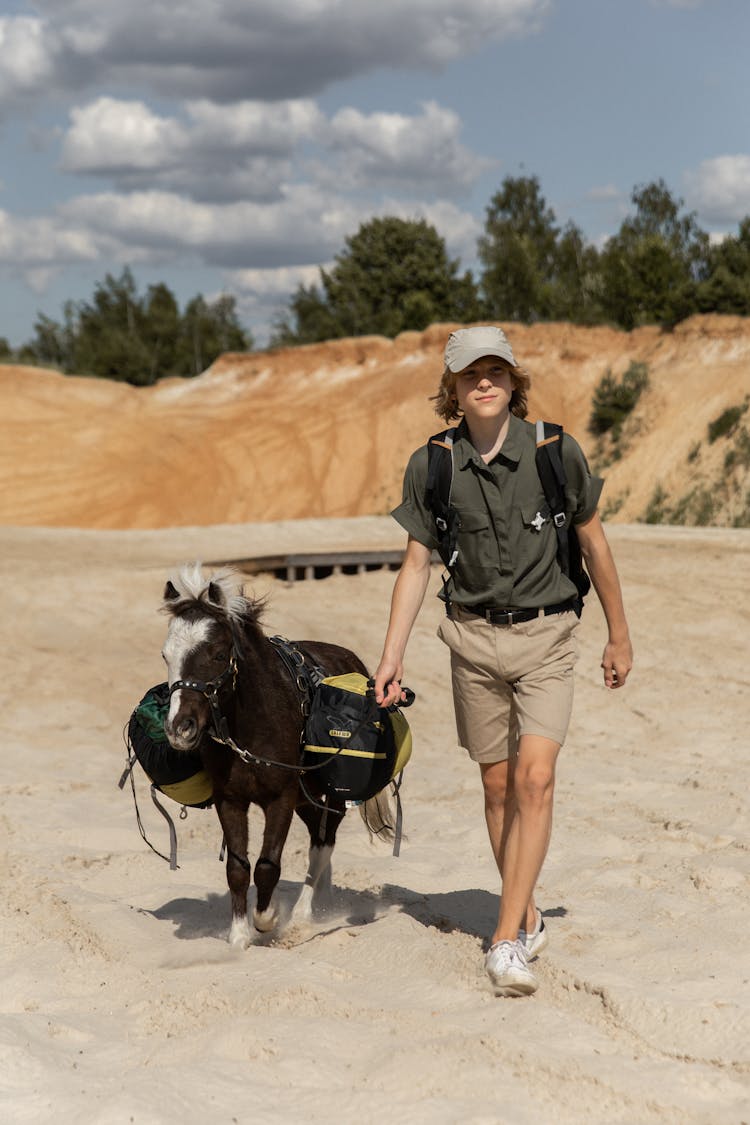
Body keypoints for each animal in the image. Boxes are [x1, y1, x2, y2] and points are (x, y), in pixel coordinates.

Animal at [159, 567, 393, 945]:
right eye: (166, 655)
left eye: (217, 653)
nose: (179, 728)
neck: (253, 726)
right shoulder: (230, 800)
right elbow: (238, 867)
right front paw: (239, 936)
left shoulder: (281, 798)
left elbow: (267, 866)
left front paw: (268, 918)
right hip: (305, 797)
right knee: (317, 836)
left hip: (323, 795)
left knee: (323, 841)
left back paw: (303, 915)